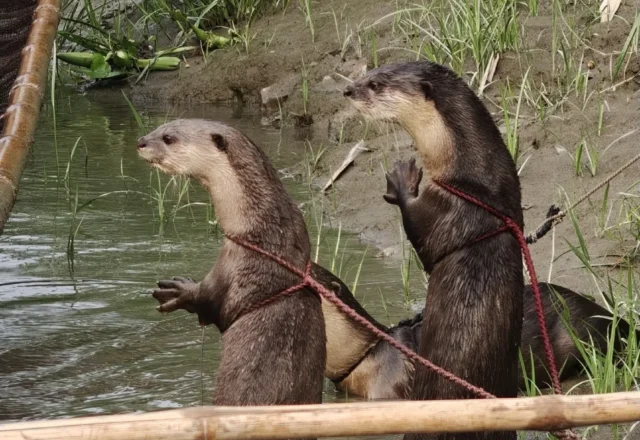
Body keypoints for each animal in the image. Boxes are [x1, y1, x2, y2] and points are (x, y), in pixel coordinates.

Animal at [136, 119, 326, 422]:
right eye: (160, 127)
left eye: (168, 138)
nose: (141, 142)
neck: (263, 235)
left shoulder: (230, 265)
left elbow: (207, 302)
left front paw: (178, 290)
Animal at [345, 61, 524, 440]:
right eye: (371, 70)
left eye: (376, 83)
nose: (348, 90)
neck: (475, 184)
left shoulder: (447, 206)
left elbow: (424, 241)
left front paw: (402, 179)